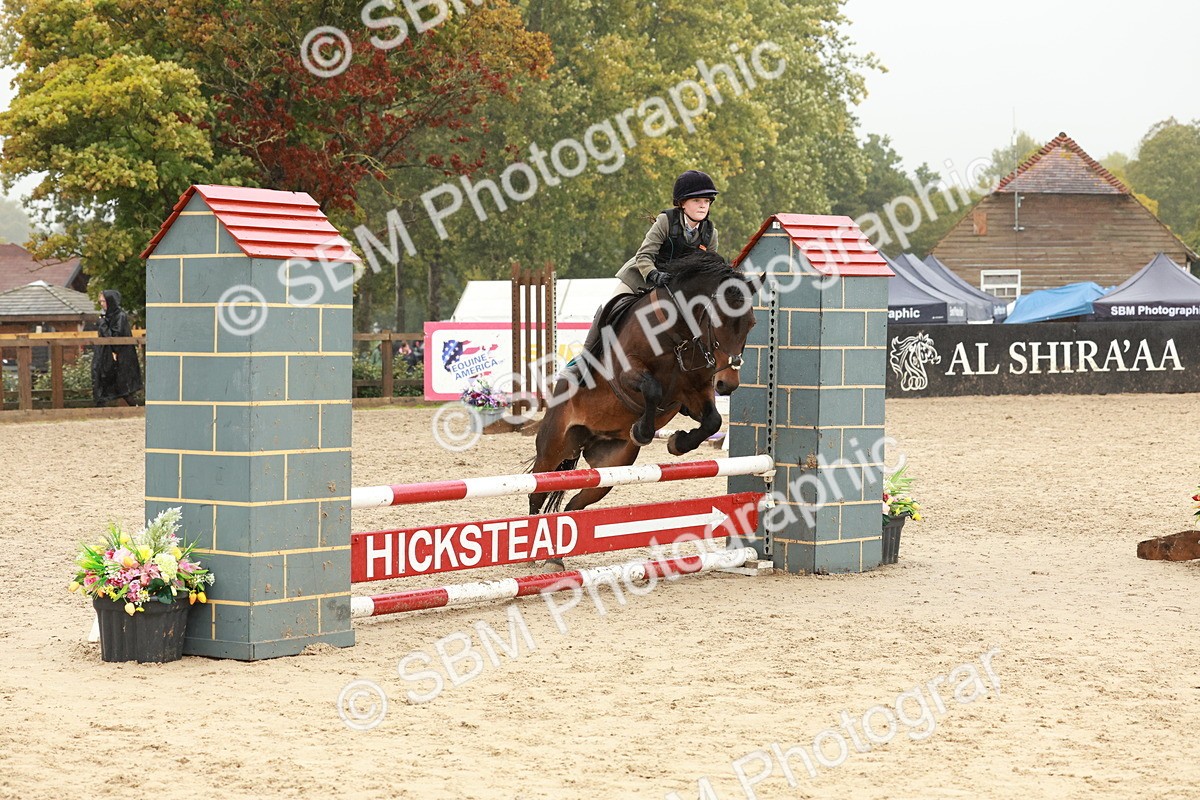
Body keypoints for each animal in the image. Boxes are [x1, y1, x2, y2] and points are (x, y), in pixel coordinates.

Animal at [528, 250, 762, 524]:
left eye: (752, 323)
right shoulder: (626, 371)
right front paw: (641, 431)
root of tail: (588, 440)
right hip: (553, 449)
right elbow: (652, 389)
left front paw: (677, 443)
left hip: (610, 468)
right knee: (536, 495)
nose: (727, 383)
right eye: (716, 319)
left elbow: (713, 420)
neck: (678, 333)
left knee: (576, 504)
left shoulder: (694, 391)